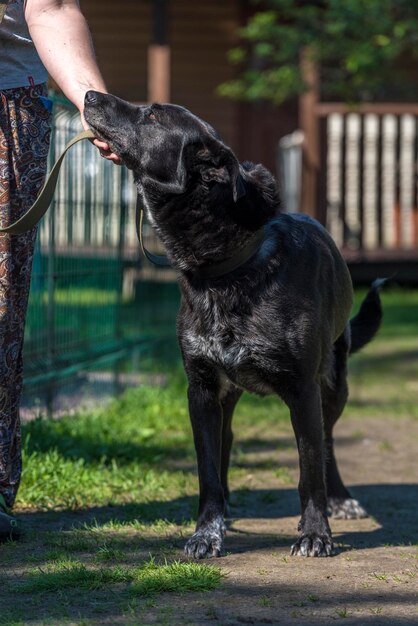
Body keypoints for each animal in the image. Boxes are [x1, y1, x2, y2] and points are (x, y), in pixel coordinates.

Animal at [84, 92, 382, 556]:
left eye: (152, 115)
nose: (89, 95)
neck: (226, 271)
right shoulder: (202, 390)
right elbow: (207, 473)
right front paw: (207, 532)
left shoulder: (303, 390)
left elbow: (309, 470)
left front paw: (316, 532)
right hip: (229, 397)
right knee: (226, 444)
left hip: (334, 385)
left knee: (328, 444)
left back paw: (340, 499)